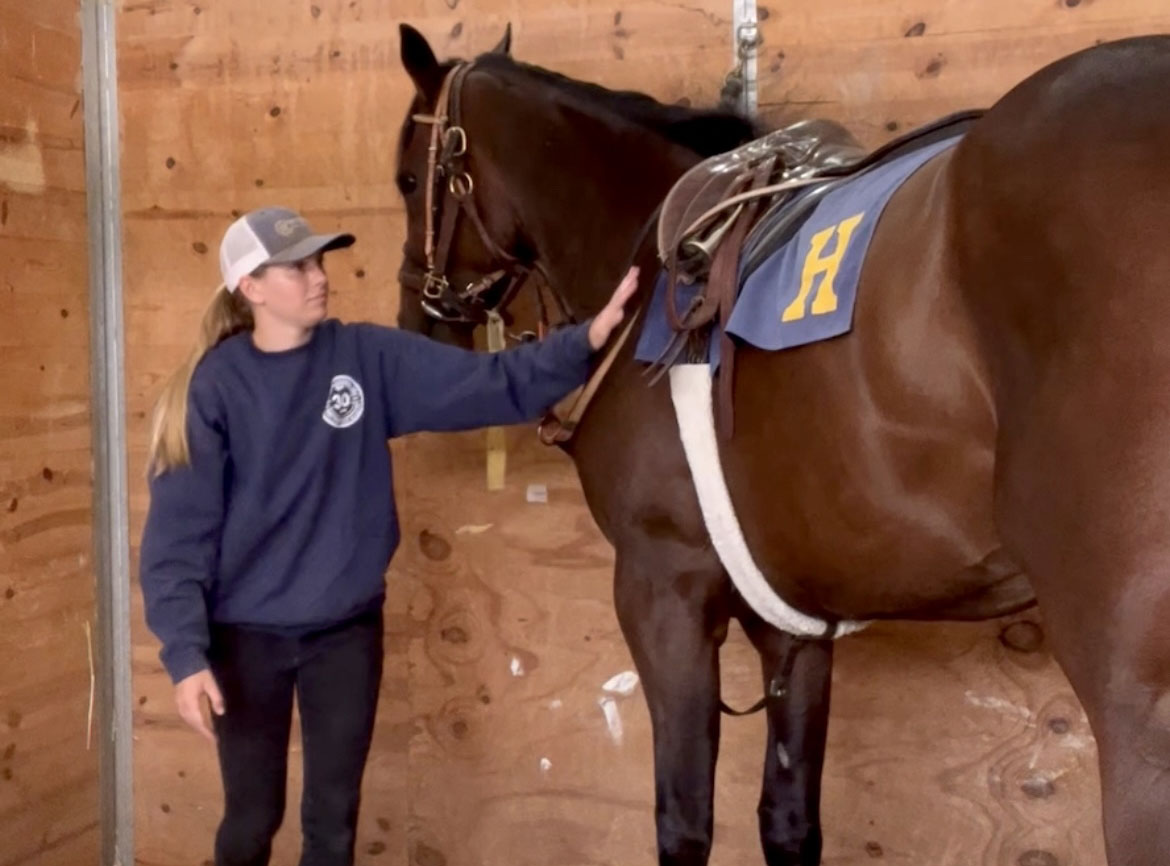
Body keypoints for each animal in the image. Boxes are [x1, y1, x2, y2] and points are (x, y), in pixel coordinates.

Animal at [392, 23, 1170, 866]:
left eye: (409, 179)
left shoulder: (662, 593)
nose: (414, 318)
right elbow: (789, 820)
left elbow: (684, 819)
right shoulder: (794, 630)